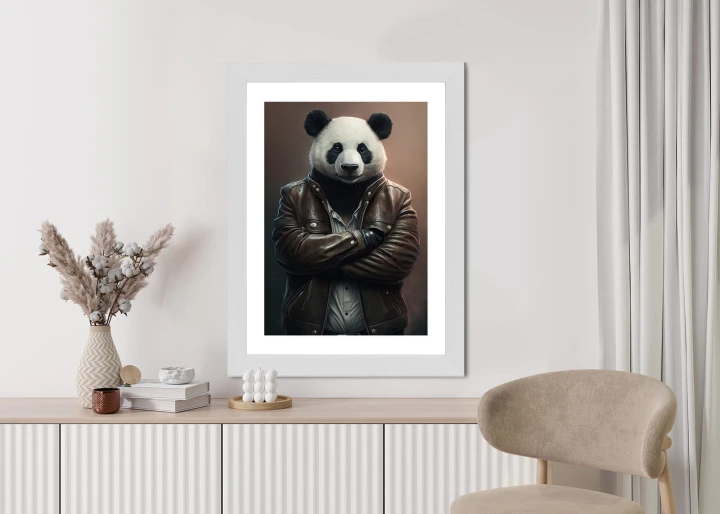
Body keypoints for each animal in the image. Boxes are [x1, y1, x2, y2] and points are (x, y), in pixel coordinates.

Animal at [272, 110, 420, 336]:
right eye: (336, 147)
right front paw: (367, 238)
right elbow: (294, 245)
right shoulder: (287, 200)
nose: (350, 167)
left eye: (362, 148)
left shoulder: (404, 200)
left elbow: (400, 250)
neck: (347, 188)